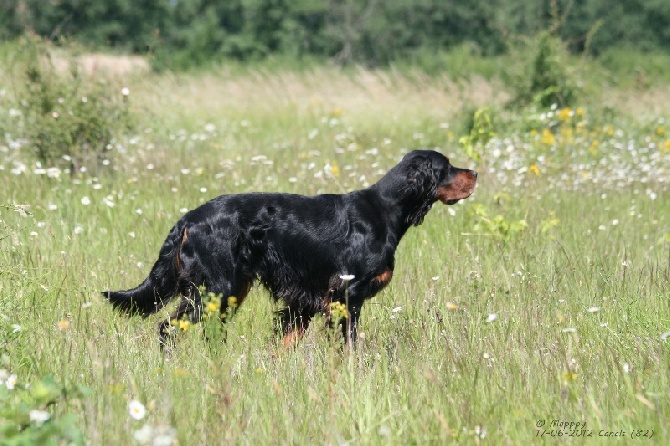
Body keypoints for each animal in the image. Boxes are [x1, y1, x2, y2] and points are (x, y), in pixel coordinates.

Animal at [103, 152, 478, 346]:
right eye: (446, 167)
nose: (475, 172)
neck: (384, 210)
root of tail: (188, 219)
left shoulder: (306, 298)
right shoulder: (347, 293)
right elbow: (349, 344)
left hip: (230, 290)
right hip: (217, 288)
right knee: (168, 328)